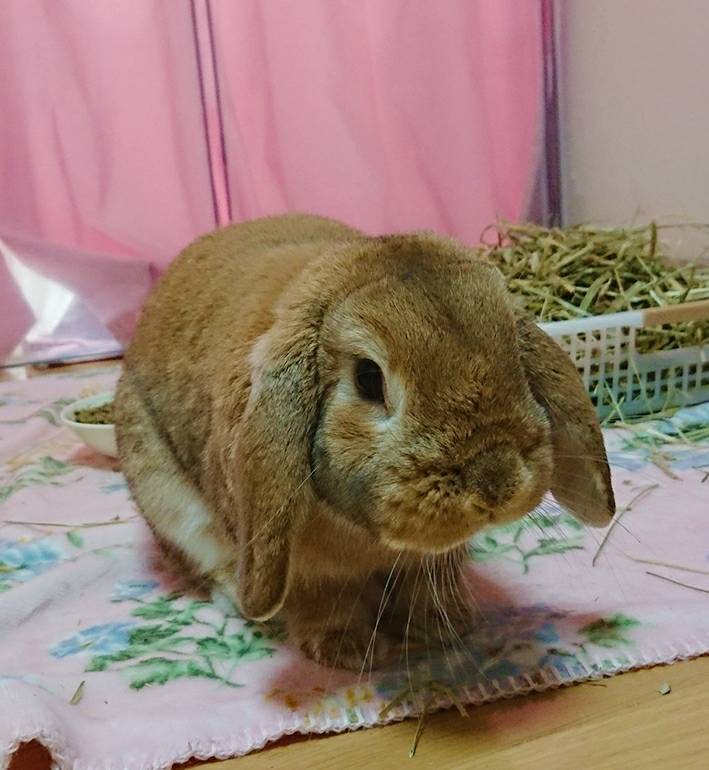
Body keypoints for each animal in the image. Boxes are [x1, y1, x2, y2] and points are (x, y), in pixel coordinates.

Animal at [114, 213, 615, 670]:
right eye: (369, 378)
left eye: (515, 355)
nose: (495, 481)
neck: (368, 537)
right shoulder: (303, 570)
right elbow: (322, 597)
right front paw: (348, 652)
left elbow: (429, 580)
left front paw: (443, 628)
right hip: (170, 504)